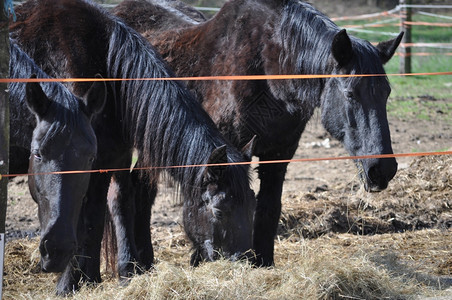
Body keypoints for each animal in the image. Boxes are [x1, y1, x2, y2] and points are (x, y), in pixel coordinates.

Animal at [114, 0, 402, 268]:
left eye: (387, 92)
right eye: (350, 93)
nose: (382, 170)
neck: (267, 70)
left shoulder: (278, 154)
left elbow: (268, 209)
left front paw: (262, 263)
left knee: (141, 187)